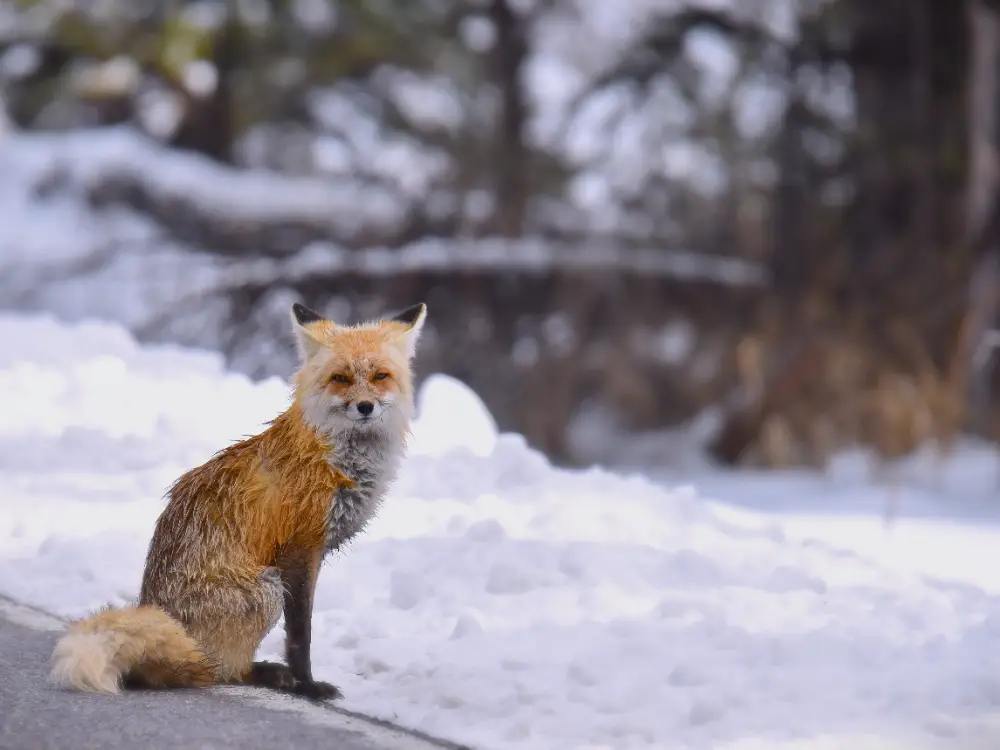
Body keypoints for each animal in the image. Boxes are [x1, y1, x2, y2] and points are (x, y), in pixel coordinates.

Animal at [48, 301, 427, 701]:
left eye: (381, 376)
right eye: (341, 378)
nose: (365, 407)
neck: (333, 458)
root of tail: (159, 609)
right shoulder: (299, 548)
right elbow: (301, 636)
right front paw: (308, 686)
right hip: (267, 588)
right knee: (219, 670)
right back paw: (265, 674)